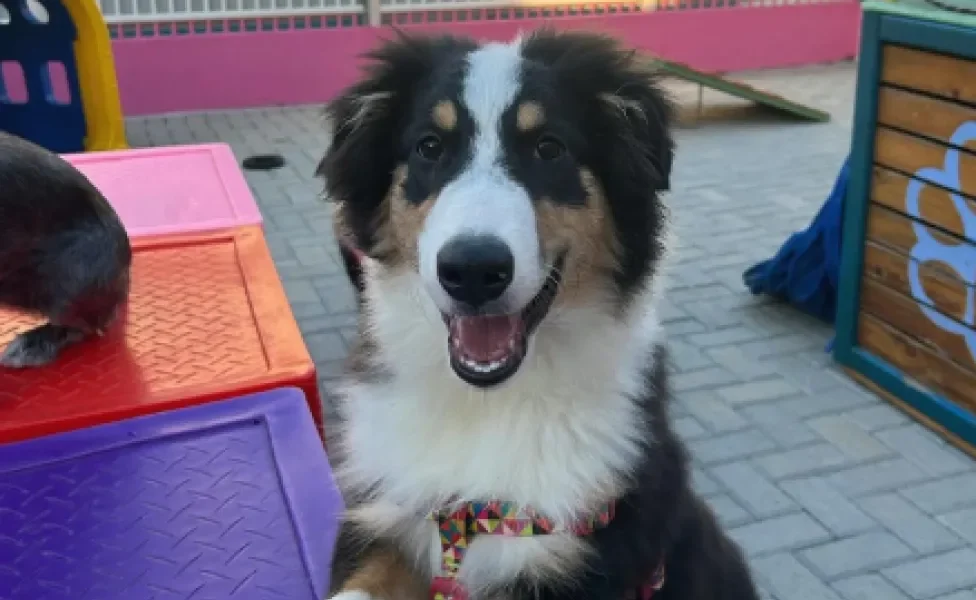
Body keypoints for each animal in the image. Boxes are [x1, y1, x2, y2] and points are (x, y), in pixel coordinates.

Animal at [316, 27, 760, 600]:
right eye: (429, 147)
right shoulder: (390, 513)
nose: (473, 270)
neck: (487, 404)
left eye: (549, 148)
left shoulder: (584, 552)